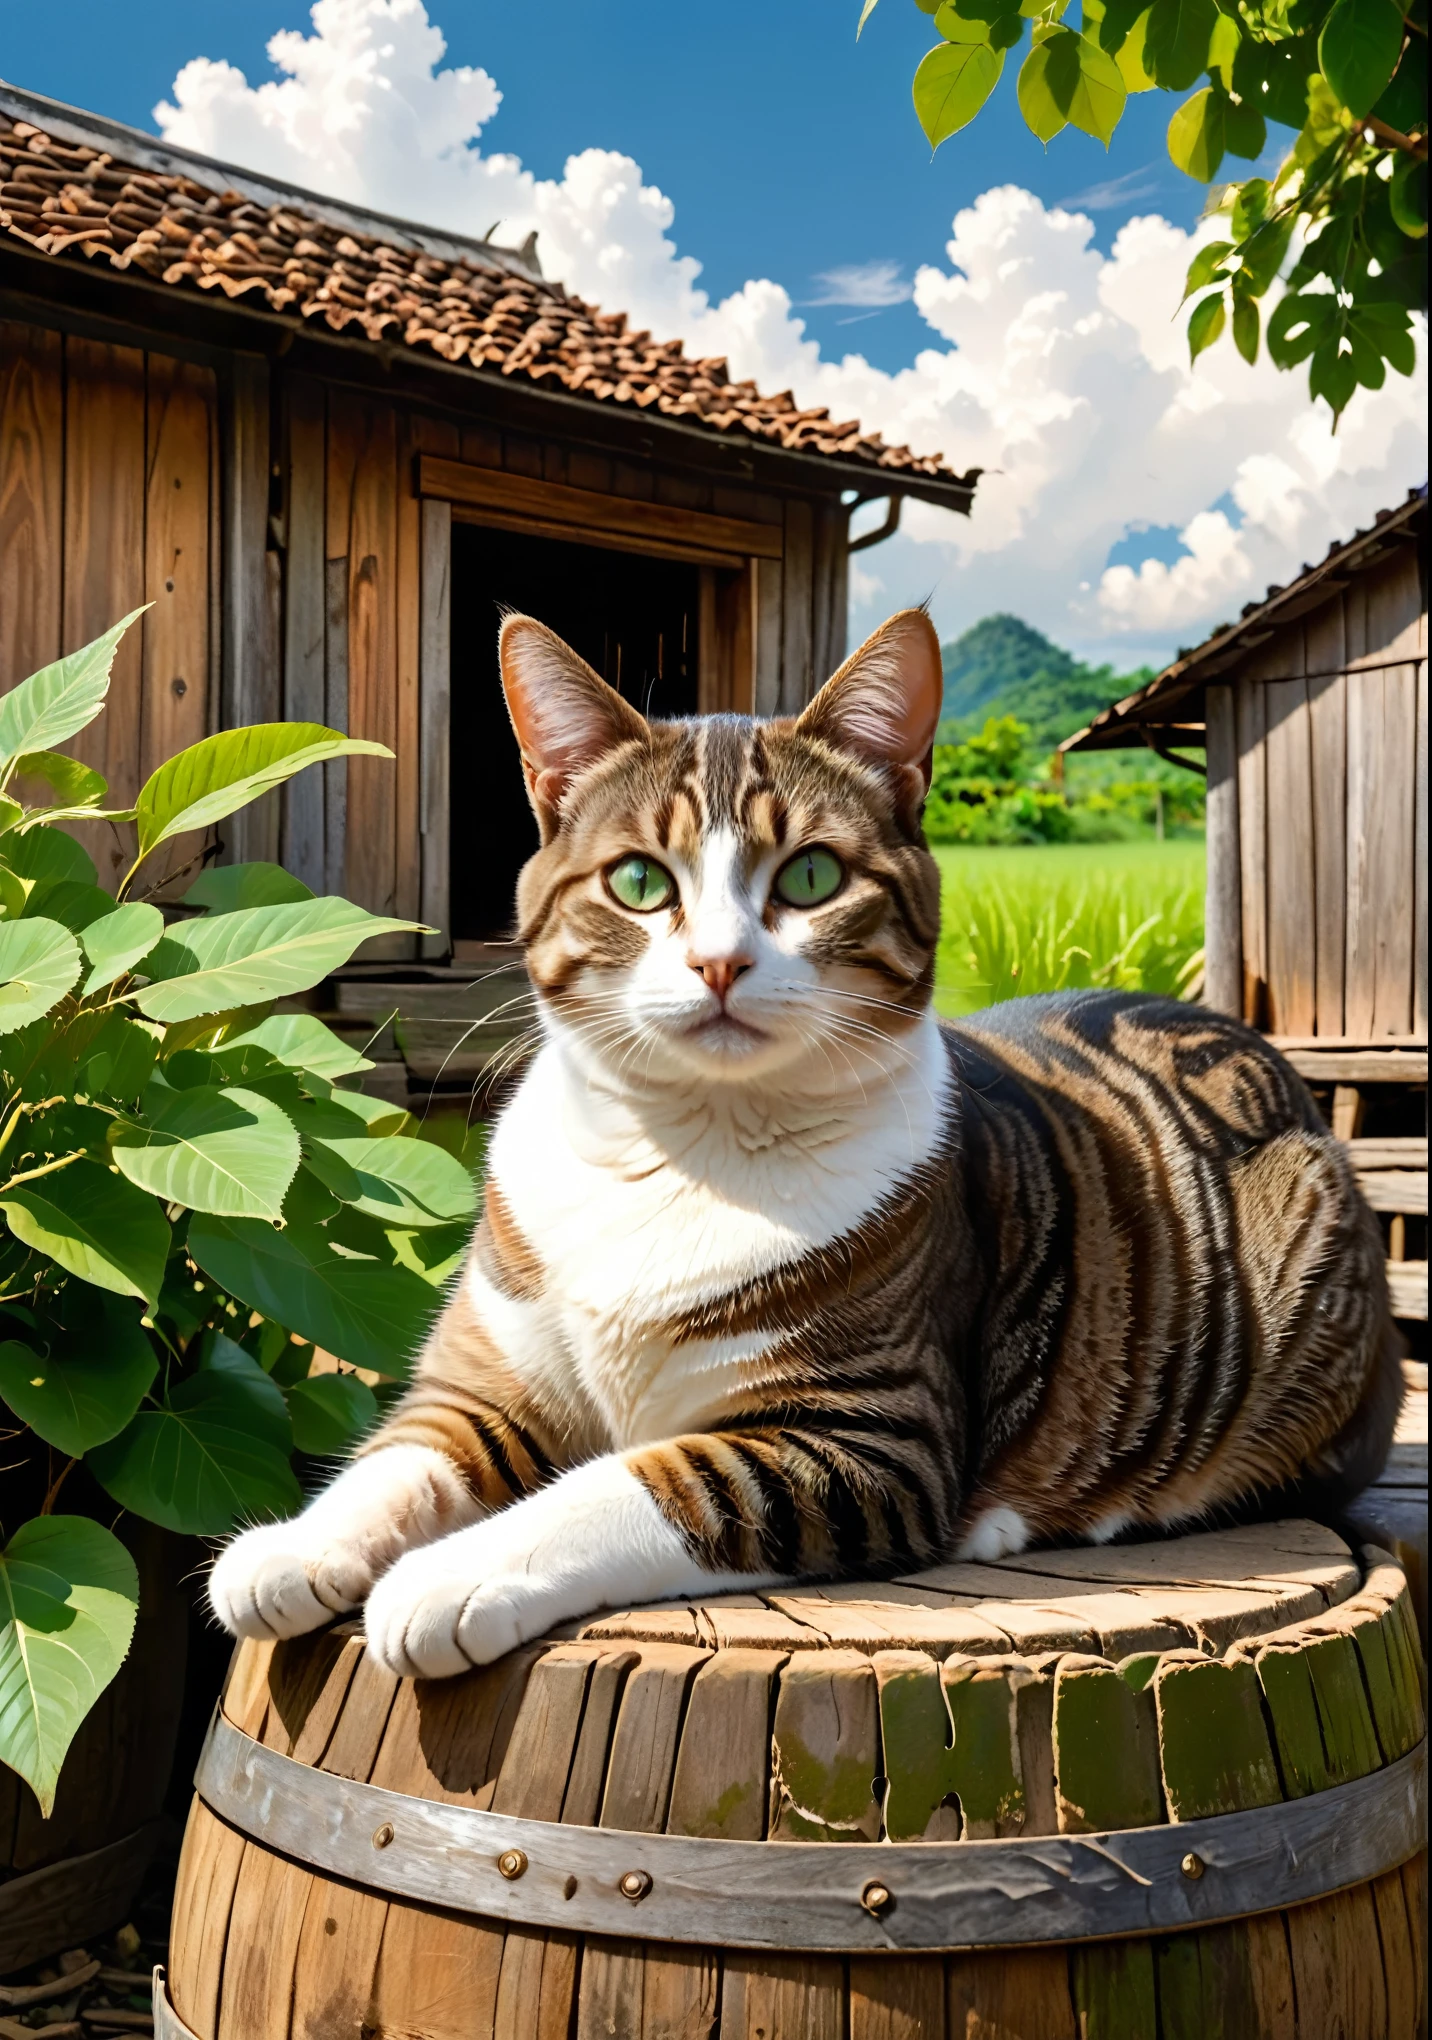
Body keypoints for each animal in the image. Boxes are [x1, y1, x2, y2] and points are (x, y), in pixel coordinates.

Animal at [210, 603, 1403, 1672]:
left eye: (812, 876)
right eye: (639, 881)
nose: (720, 961)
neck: (681, 1144)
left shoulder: (863, 1436)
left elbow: (628, 1481)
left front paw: (451, 1573)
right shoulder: (490, 1378)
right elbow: (401, 1455)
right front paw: (289, 1547)